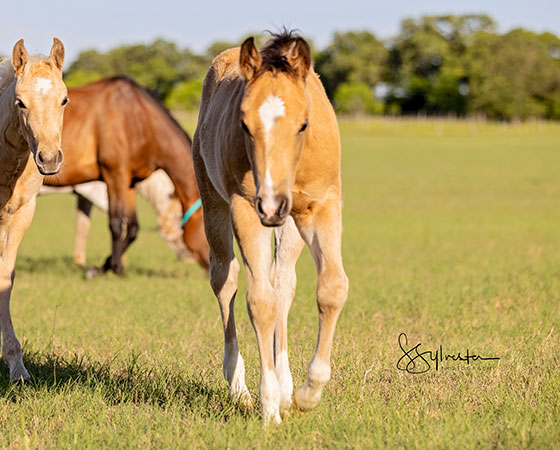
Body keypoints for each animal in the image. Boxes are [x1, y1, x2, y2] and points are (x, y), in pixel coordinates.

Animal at [43, 77, 210, 274]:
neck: (136, 119)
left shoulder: (129, 182)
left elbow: (132, 228)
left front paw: (110, 266)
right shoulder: (113, 178)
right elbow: (115, 223)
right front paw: (108, 268)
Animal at [195, 32, 348, 426]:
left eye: (304, 123)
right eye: (244, 124)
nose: (270, 203)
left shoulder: (322, 206)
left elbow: (332, 288)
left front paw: (307, 394)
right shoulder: (246, 211)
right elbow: (259, 302)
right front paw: (269, 409)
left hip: (290, 224)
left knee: (283, 281)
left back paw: (286, 386)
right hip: (216, 206)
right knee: (226, 280)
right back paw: (240, 388)